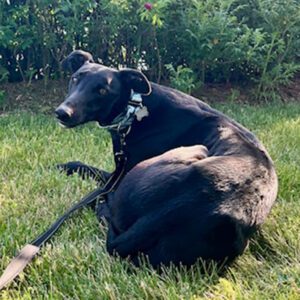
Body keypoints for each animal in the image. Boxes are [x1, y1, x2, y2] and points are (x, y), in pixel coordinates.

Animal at [55, 50, 278, 268]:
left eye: (102, 91)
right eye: (75, 79)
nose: (62, 113)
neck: (135, 109)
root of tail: (174, 208)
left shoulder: (119, 174)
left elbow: (95, 174)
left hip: (193, 150)